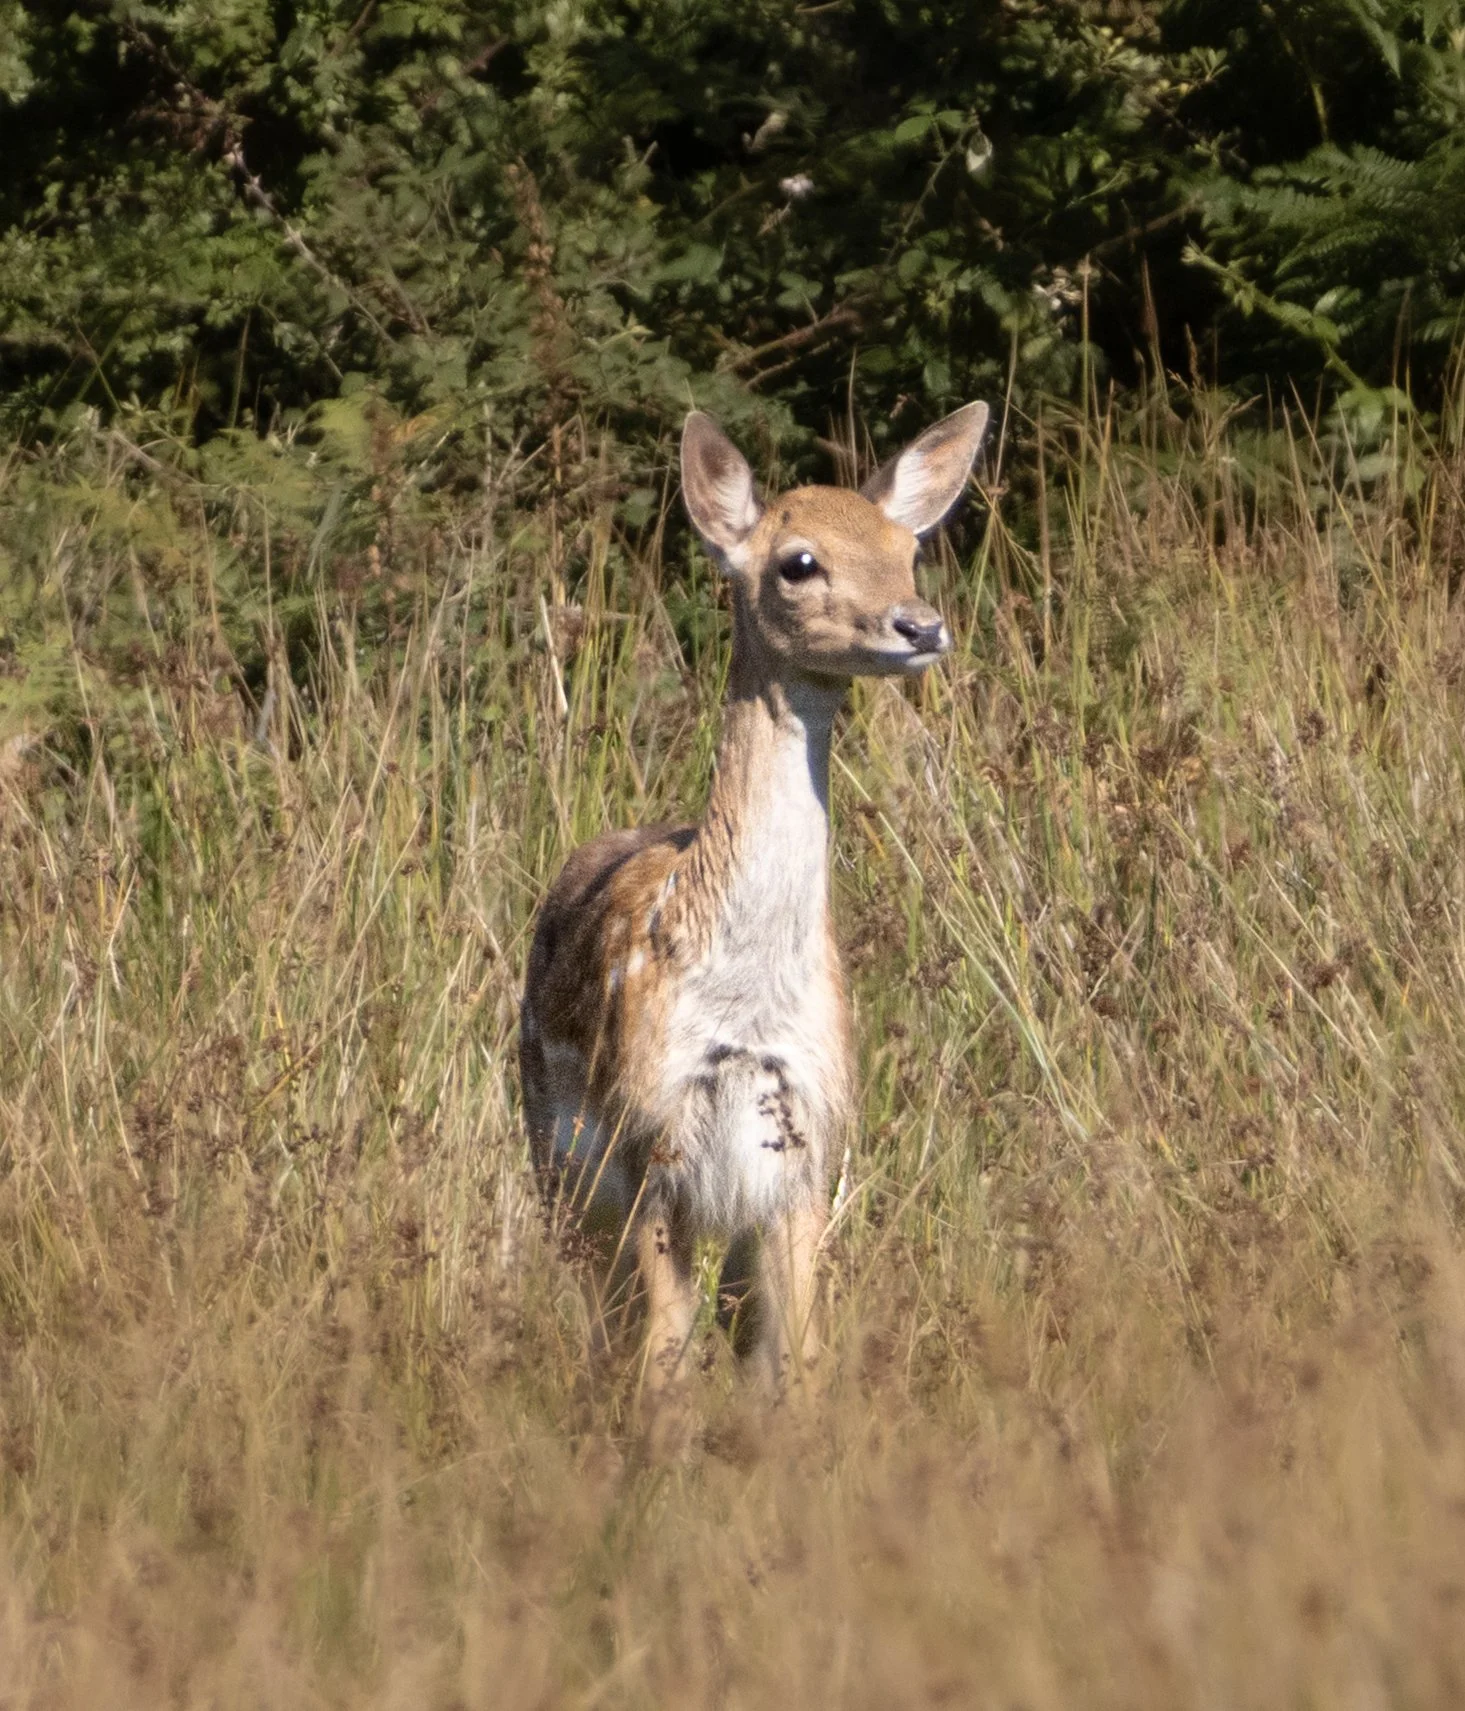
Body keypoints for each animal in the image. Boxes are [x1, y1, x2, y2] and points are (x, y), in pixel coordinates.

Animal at [519, 400, 990, 1417]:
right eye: (798, 561)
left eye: (906, 548)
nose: (919, 625)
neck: (743, 995)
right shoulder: (646, 1134)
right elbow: (663, 1356)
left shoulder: (809, 1141)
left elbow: (799, 1357)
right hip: (553, 1154)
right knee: (604, 1317)